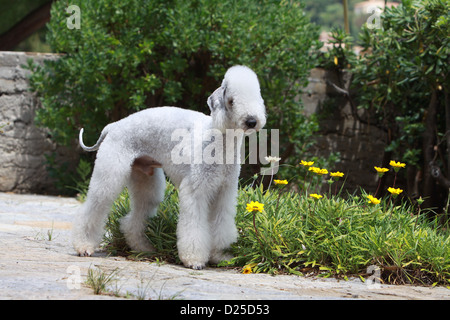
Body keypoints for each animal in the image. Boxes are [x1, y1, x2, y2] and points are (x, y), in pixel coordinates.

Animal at [72, 65, 266, 270]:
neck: (217, 140)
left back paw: (143, 248)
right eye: (231, 101)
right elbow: (194, 227)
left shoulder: (224, 192)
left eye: (257, 97)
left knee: (134, 219)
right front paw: (194, 259)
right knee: (93, 208)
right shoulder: (195, 190)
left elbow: (221, 225)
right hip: (109, 173)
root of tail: (113, 126)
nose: (252, 121)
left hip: (146, 180)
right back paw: (84, 246)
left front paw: (221, 256)